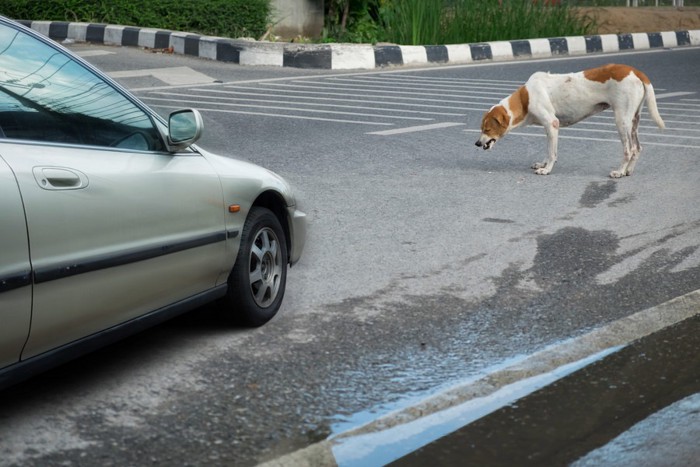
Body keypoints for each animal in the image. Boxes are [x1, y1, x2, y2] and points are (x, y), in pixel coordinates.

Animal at [476, 64, 668, 177]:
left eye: (487, 129)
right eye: (482, 128)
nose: (477, 143)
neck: (525, 98)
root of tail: (635, 71)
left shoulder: (552, 124)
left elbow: (552, 153)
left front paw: (547, 169)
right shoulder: (548, 129)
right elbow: (549, 149)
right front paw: (543, 163)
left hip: (621, 121)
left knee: (629, 149)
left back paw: (620, 171)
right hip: (633, 121)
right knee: (637, 148)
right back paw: (628, 170)